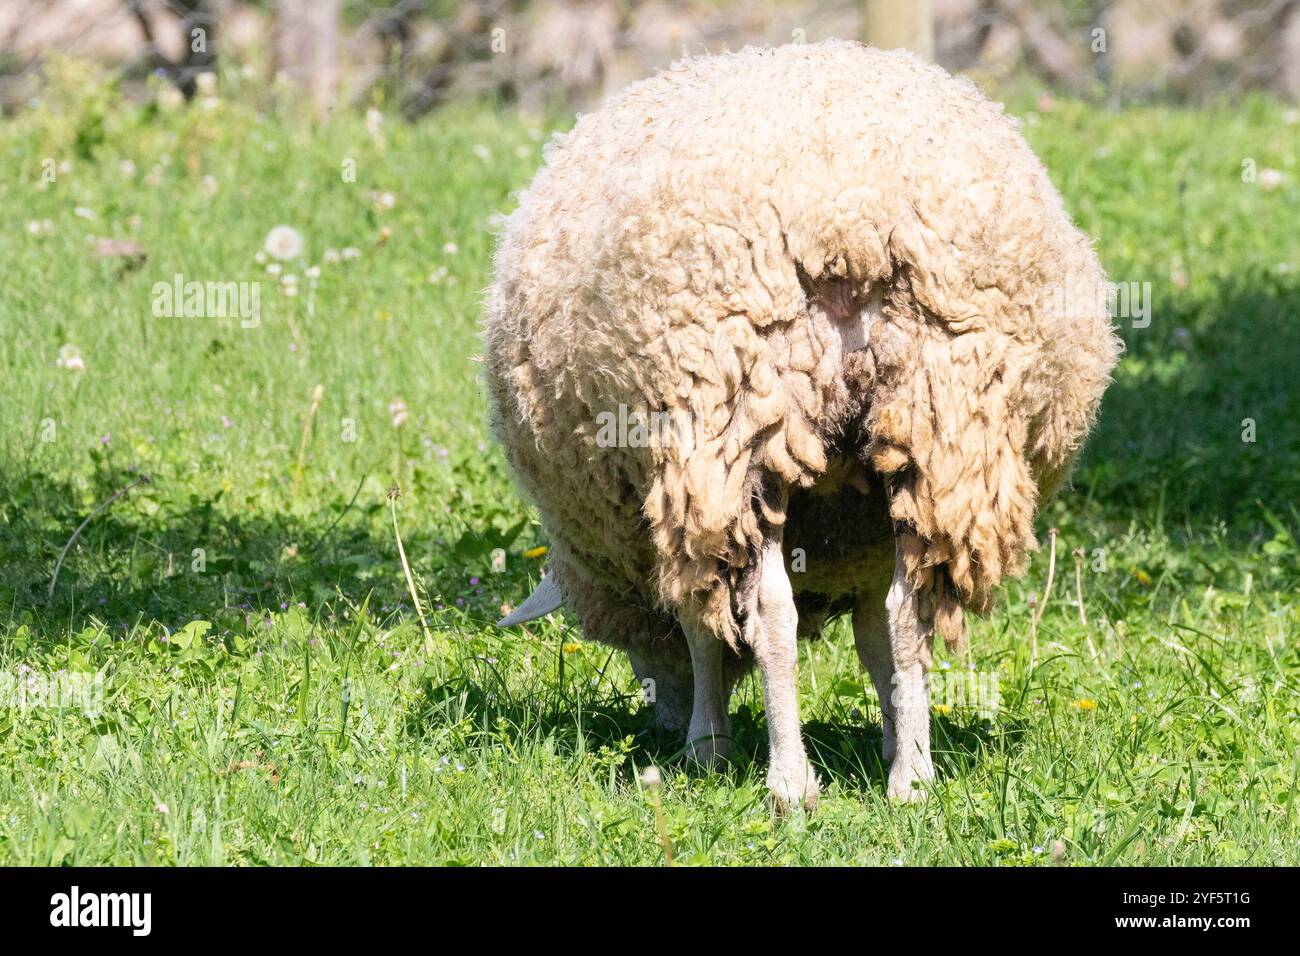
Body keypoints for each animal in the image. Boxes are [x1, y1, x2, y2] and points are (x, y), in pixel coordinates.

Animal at [485, 39, 1121, 808]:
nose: (661, 720)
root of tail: (848, 221)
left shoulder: (692, 500)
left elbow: (705, 630)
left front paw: (706, 745)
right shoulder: (866, 529)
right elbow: (878, 636)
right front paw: (895, 736)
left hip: (740, 425)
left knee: (773, 617)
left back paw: (789, 782)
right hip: (937, 418)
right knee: (909, 612)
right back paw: (913, 780)